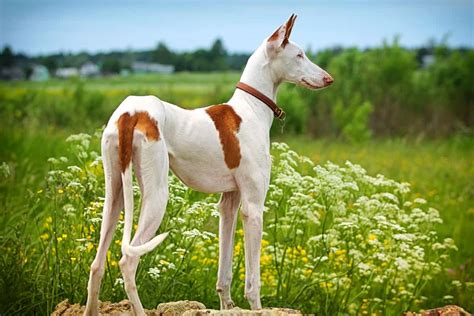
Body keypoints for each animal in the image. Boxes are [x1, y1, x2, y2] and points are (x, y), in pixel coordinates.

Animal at [83, 13, 332, 314]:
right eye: (299, 54)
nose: (329, 79)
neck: (251, 108)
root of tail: (132, 112)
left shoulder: (229, 204)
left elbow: (224, 273)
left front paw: (227, 305)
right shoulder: (253, 208)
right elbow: (253, 282)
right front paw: (256, 307)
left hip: (114, 195)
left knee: (96, 265)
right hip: (156, 196)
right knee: (127, 261)